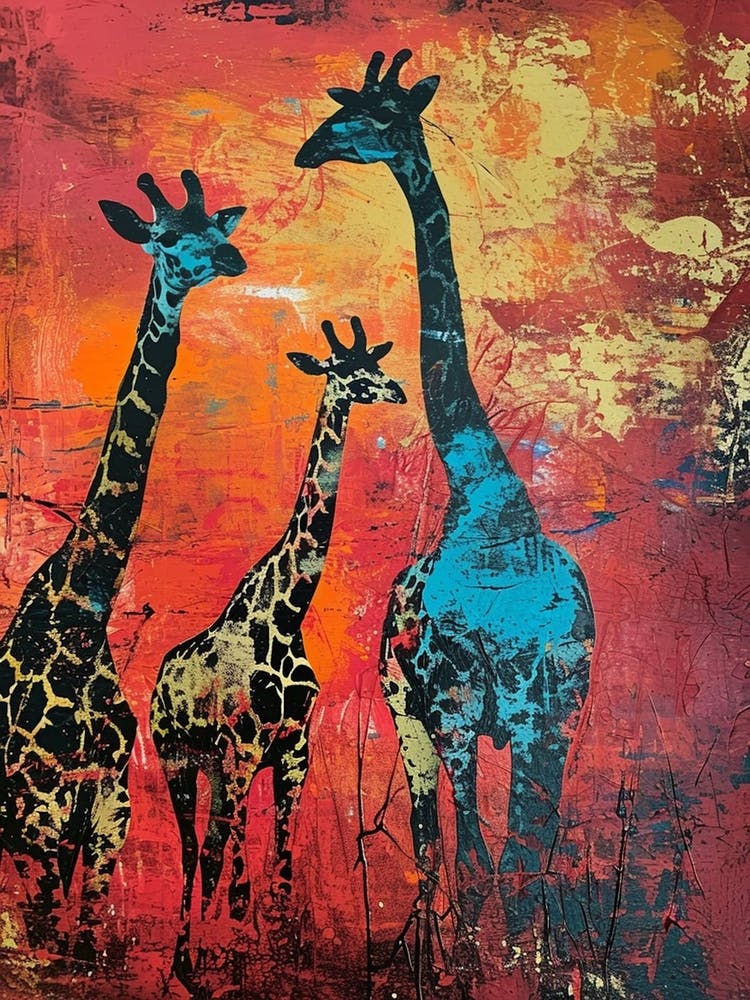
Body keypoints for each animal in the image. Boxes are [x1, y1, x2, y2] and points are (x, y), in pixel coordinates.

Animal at [0, 170, 246, 961]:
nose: (230, 260)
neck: (86, 610)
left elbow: (84, 946)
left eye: (218, 228)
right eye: (165, 237)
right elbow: (56, 945)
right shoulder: (37, 811)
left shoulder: (107, 805)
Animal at [149, 315, 406, 988]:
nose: (396, 390)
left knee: (213, 851)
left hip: (214, 770)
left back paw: (196, 963)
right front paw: (238, 961)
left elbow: (281, 881)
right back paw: (186, 963)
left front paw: (274, 962)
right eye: (344, 370)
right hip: (179, 760)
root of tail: (156, 680)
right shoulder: (243, 751)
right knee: (195, 851)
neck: (287, 615)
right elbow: (243, 886)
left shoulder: (293, 753)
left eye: (377, 364)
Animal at [296, 50, 595, 981]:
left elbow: (516, 863)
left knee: (484, 856)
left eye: (374, 117)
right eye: (342, 111)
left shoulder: (540, 717)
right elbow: (476, 862)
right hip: (412, 721)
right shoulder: (461, 715)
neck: (490, 505)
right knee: (438, 850)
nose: (310, 149)